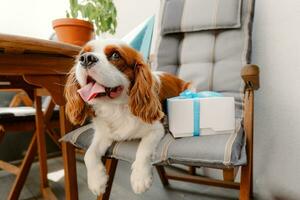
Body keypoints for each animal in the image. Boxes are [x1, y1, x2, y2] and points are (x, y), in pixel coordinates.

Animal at [64, 39, 189, 195]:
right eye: (82, 54)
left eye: (115, 55)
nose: (86, 58)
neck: (116, 107)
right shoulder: (102, 135)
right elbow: (89, 154)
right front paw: (96, 181)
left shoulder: (156, 129)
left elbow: (144, 149)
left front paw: (140, 178)